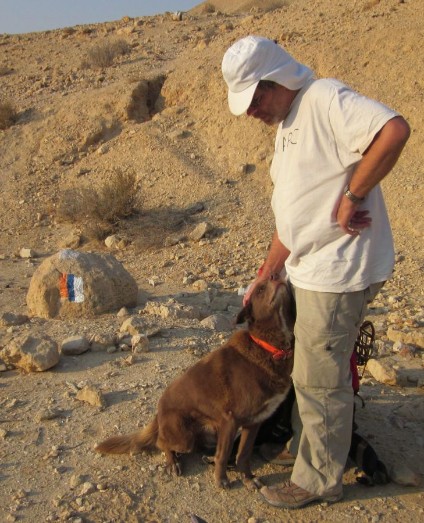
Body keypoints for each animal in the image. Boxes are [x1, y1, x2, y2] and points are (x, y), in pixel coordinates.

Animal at [95, 280, 294, 490]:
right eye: (261, 288)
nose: (279, 278)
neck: (269, 347)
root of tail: (159, 415)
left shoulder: (254, 422)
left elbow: (243, 454)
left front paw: (247, 478)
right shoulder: (230, 419)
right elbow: (223, 455)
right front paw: (221, 479)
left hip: (209, 435)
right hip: (184, 436)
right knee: (161, 443)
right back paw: (172, 462)